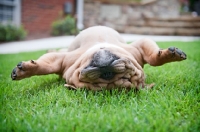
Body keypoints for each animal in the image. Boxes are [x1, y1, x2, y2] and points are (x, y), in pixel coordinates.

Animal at [10, 25, 186, 90]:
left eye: (126, 77)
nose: (107, 73)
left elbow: (153, 59)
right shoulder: (60, 60)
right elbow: (46, 66)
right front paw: (26, 69)